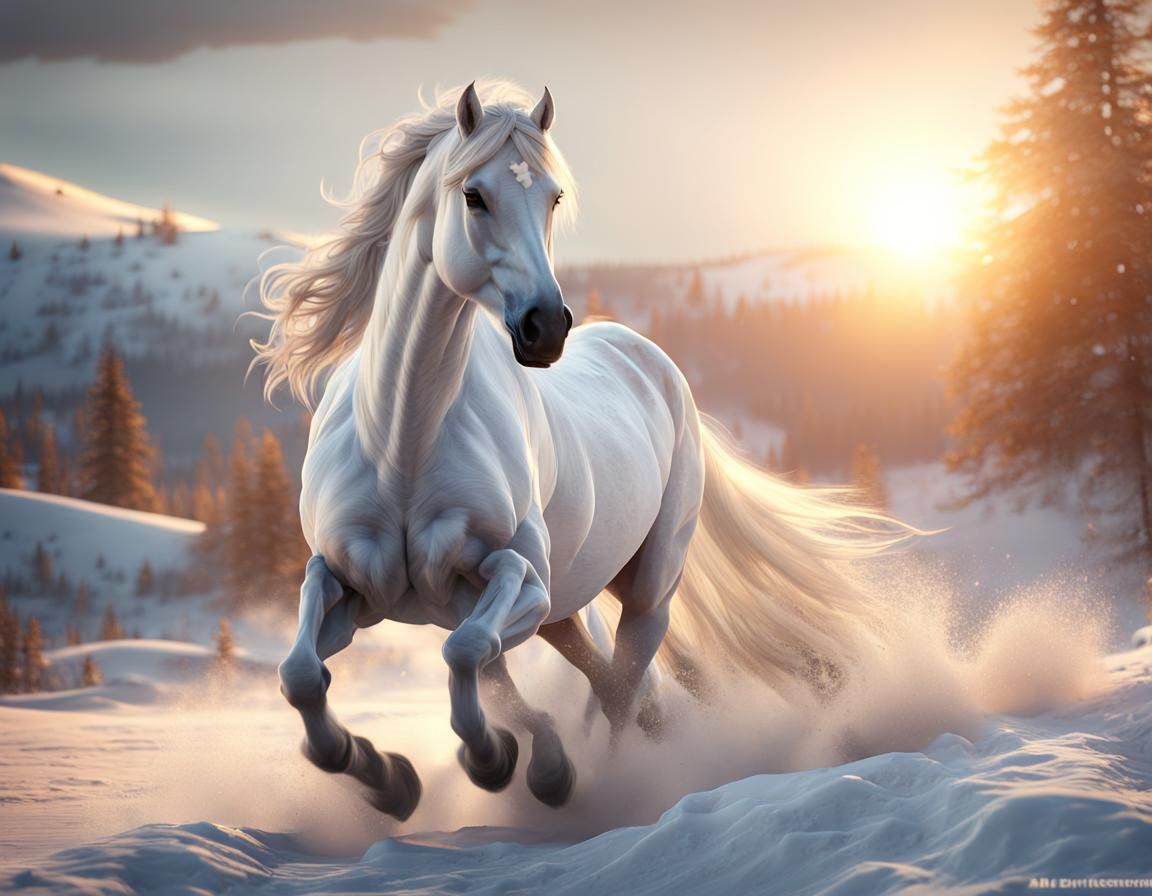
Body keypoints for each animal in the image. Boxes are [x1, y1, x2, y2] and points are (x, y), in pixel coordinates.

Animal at [252, 81, 910, 821]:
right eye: (473, 195)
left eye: (554, 197)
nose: (545, 327)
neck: (401, 446)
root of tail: (653, 362)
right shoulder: (346, 584)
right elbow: (302, 673)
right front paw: (388, 777)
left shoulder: (518, 580)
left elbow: (467, 652)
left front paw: (504, 762)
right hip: (565, 611)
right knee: (607, 681)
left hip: (644, 594)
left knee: (620, 687)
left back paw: (600, 788)